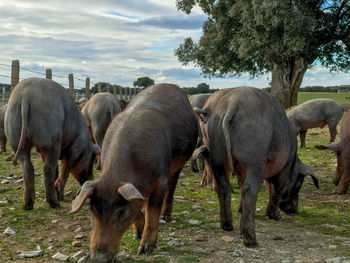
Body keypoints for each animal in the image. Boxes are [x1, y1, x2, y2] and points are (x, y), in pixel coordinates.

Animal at [4, 78, 100, 210]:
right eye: (91, 159)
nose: (92, 179)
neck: (85, 146)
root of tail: (25, 96)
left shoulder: (41, 150)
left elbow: (58, 170)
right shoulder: (75, 148)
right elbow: (65, 169)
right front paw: (61, 196)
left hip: (14, 133)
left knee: (27, 166)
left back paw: (28, 205)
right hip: (50, 138)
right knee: (48, 168)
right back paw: (54, 203)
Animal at [69, 83, 198, 262]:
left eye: (121, 213)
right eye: (92, 210)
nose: (98, 259)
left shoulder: (160, 180)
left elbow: (153, 211)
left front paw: (145, 249)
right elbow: (138, 207)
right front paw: (137, 234)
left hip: (180, 162)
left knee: (172, 187)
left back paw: (166, 216)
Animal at [193, 87, 318, 249]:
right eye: (299, 184)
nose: (294, 211)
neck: (292, 162)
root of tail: (231, 104)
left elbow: (241, 184)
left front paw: (240, 209)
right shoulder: (282, 170)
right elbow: (275, 190)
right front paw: (274, 216)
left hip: (216, 153)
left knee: (223, 187)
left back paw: (227, 225)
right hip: (255, 155)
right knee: (250, 189)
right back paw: (251, 240)